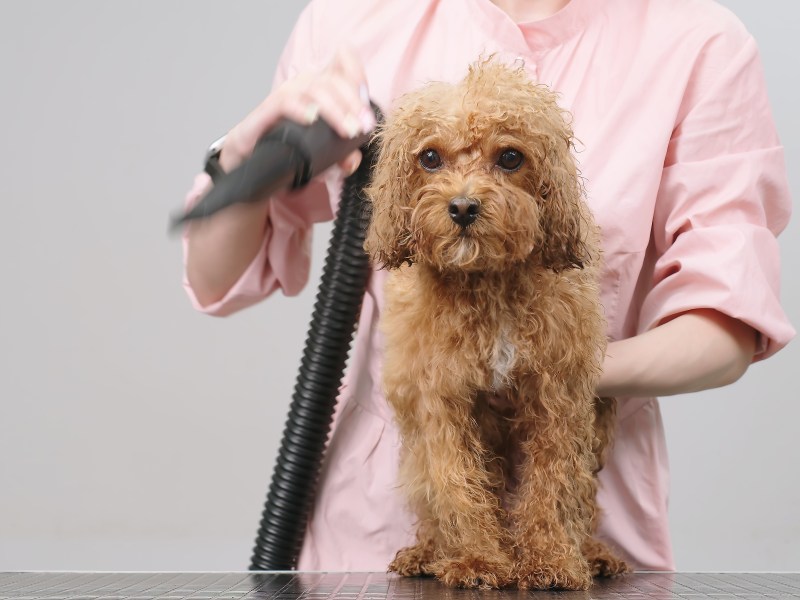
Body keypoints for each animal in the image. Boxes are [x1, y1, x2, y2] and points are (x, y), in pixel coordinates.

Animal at [364, 61, 632, 592]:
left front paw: (550, 560)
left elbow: (553, 484)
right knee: (431, 499)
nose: (464, 207)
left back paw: (593, 554)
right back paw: (427, 553)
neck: (487, 286)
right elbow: (458, 484)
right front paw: (478, 560)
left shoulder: (558, 400)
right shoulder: (443, 401)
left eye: (510, 157)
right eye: (429, 157)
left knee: (585, 498)